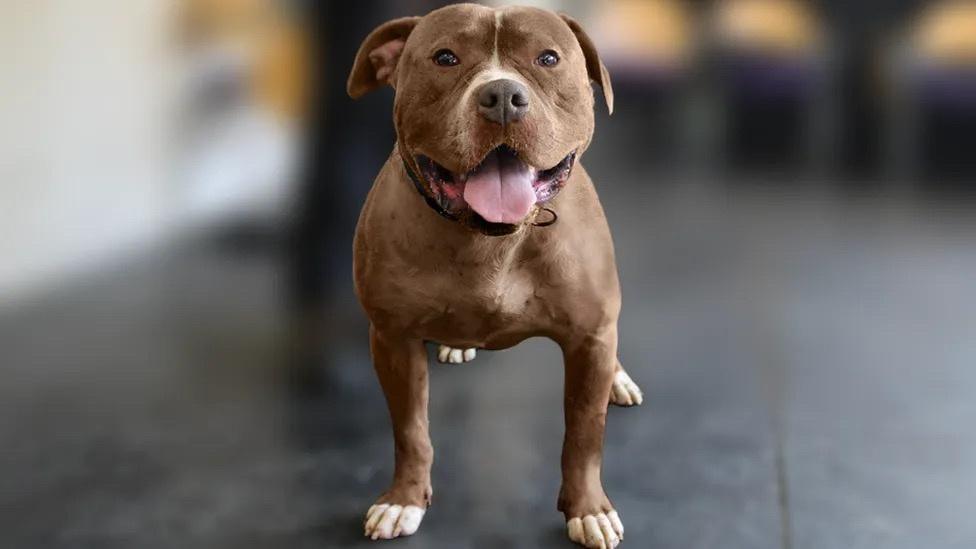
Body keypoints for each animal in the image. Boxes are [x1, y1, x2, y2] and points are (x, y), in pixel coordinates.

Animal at [348, 3, 640, 544]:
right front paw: (404, 500)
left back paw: (619, 379)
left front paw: (588, 509)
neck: (491, 239)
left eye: (548, 58)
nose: (503, 95)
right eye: (445, 57)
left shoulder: (590, 335)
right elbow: (410, 430)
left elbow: (584, 433)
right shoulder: (392, 339)